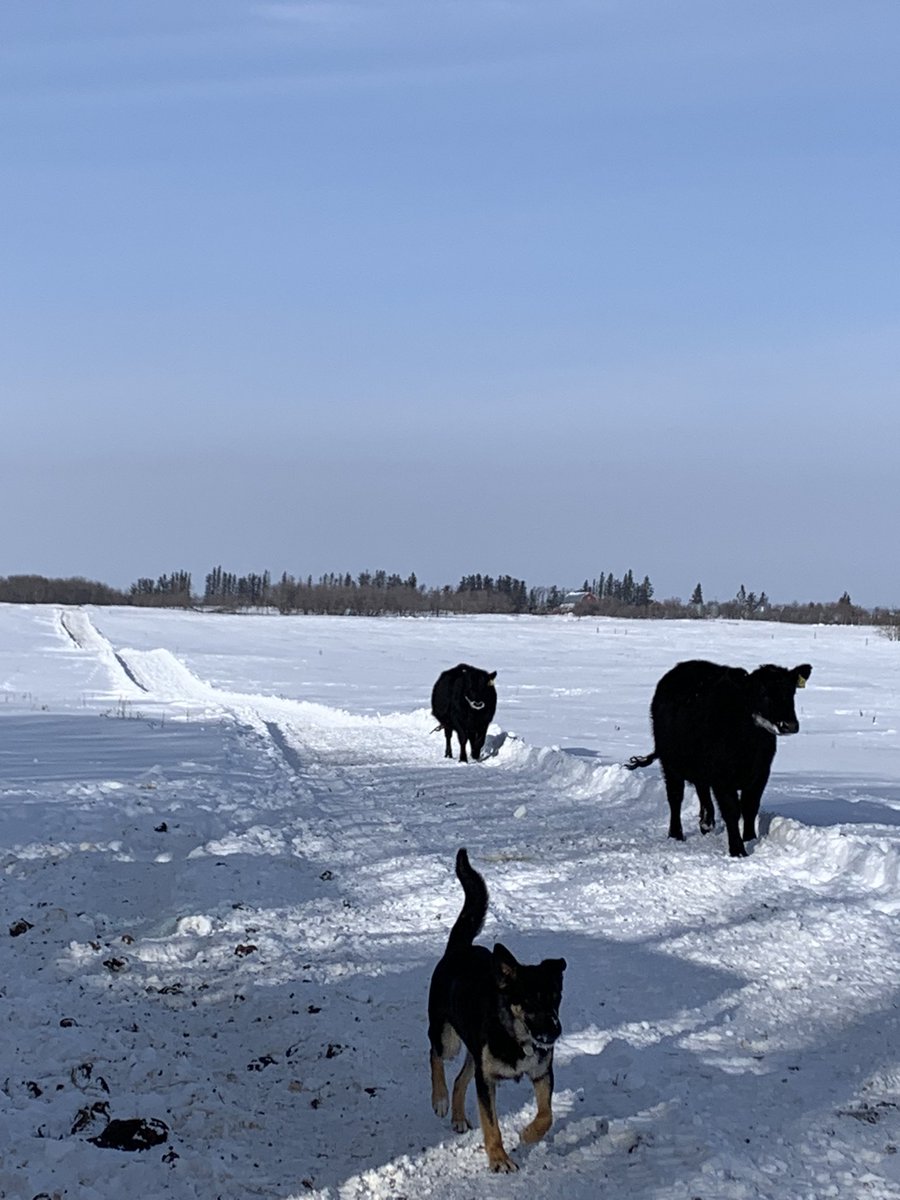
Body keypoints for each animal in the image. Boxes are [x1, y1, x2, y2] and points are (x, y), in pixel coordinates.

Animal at [627, 659, 812, 857]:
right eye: (763, 693)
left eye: (792, 692)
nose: (789, 725)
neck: (750, 745)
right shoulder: (723, 777)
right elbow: (732, 810)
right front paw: (738, 849)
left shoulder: (761, 773)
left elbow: (750, 806)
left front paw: (750, 839)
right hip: (670, 763)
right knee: (675, 797)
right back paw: (676, 833)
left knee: (702, 789)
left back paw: (706, 823)